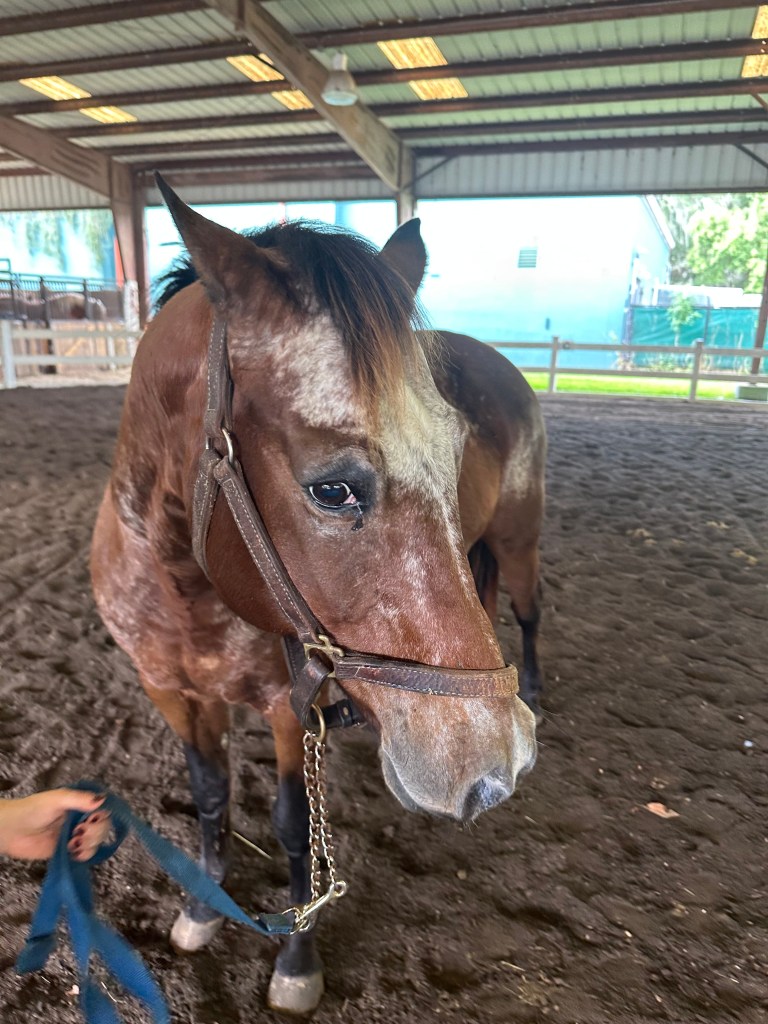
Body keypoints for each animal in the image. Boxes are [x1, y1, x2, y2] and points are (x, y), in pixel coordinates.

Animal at [90, 180, 544, 1015]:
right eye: (332, 489)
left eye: (453, 449)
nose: (492, 764)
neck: (184, 586)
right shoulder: (168, 689)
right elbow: (211, 796)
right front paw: (203, 909)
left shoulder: (286, 706)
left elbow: (294, 827)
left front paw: (297, 960)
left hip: (520, 542)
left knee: (528, 614)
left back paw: (531, 684)